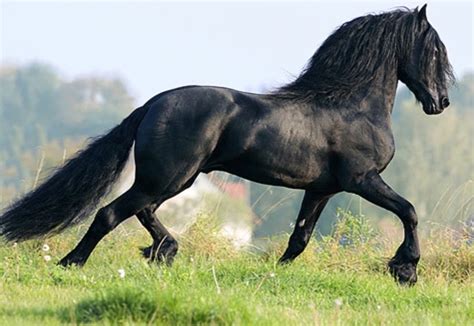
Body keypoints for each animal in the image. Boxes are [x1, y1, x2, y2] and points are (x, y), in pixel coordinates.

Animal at [0, 5, 452, 286]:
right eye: (433, 50)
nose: (441, 102)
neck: (351, 106)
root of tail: (152, 104)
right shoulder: (362, 180)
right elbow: (410, 211)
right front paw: (406, 270)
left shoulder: (321, 189)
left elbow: (300, 239)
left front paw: (273, 274)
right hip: (167, 177)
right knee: (111, 213)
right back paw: (72, 264)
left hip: (175, 180)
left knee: (142, 211)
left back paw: (164, 251)